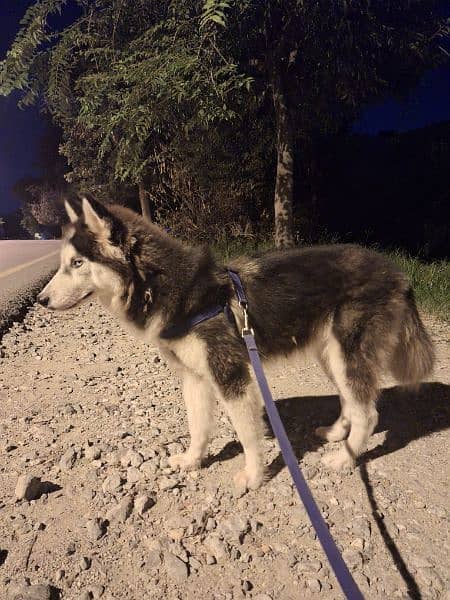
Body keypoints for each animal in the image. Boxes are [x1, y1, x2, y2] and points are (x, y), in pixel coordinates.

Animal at [39, 197, 436, 492]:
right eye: (63, 263)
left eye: (77, 263)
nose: (41, 300)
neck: (164, 286)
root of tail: (398, 272)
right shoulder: (195, 378)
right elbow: (198, 426)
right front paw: (192, 459)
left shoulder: (230, 375)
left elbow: (247, 435)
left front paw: (254, 476)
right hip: (331, 354)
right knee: (351, 401)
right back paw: (337, 433)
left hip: (347, 351)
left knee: (368, 412)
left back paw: (345, 457)